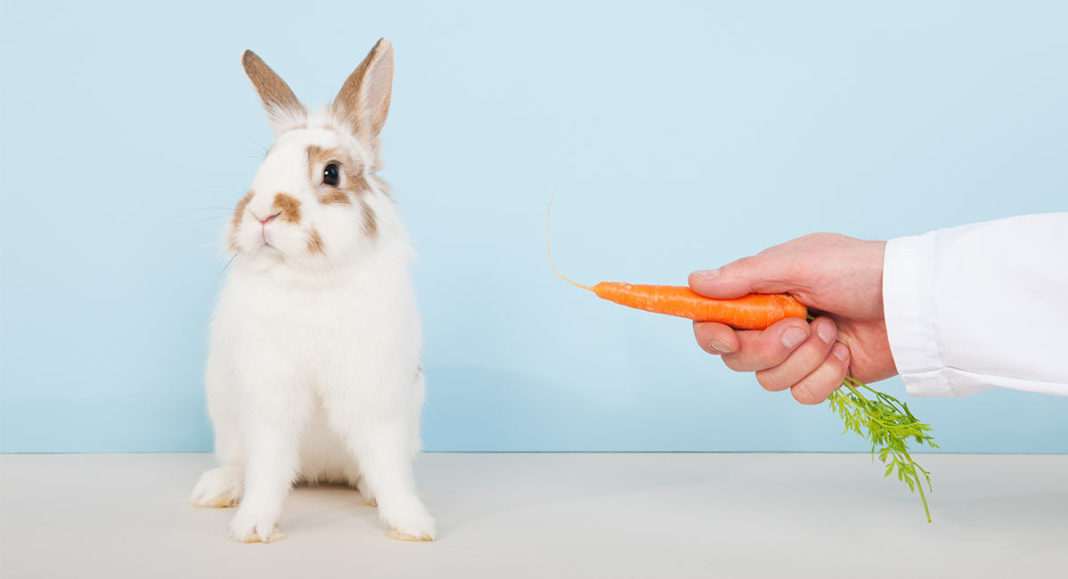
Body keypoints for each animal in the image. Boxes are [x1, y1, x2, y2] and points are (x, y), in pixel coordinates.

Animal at [190, 39, 435, 544]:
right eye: (263, 163)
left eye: (331, 173)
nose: (261, 213)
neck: (309, 277)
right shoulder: (269, 396)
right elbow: (267, 467)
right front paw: (252, 527)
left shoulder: (373, 393)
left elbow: (386, 463)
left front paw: (412, 525)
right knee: (242, 463)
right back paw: (218, 489)